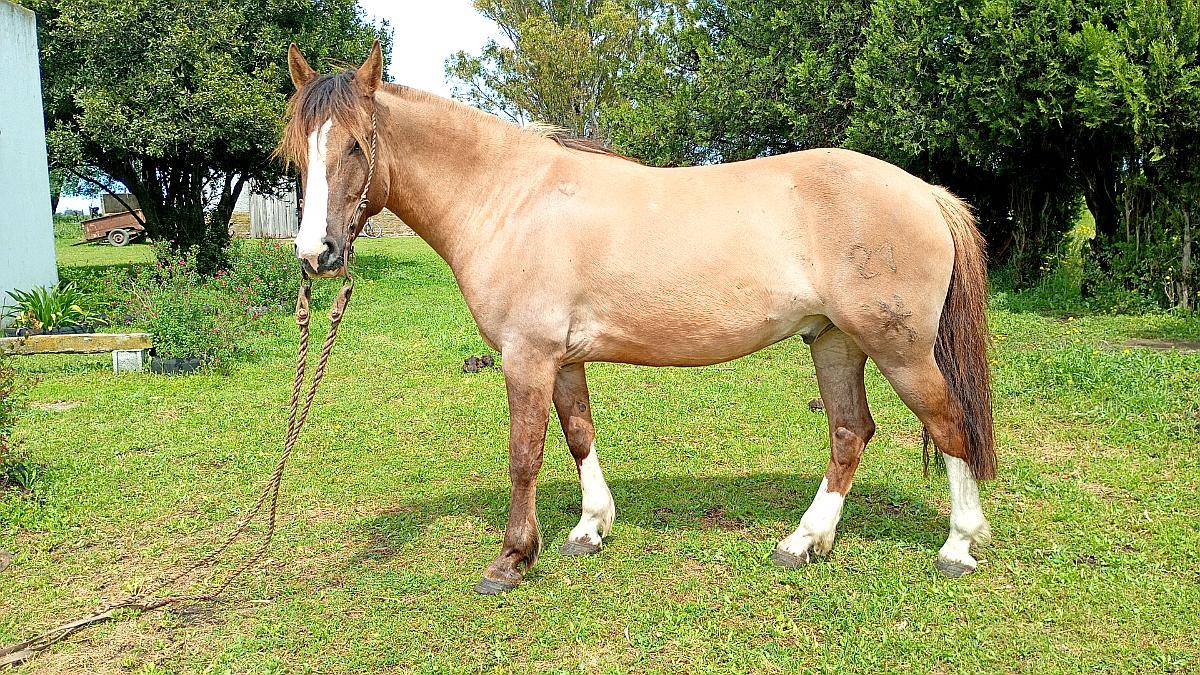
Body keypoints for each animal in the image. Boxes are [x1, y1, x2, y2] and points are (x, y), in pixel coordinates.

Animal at [279, 41, 995, 594]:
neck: (509, 197)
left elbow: (524, 455)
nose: (317, 254)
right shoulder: (562, 359)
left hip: (899, 349)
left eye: (354, 146)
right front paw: (589, 527)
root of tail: (924, 194)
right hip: (835, 341)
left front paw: (511, 559)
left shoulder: (527, 357)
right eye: (299, 152)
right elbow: (578, 436)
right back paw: (803, 541)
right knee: (850, 432)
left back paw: (958, 547)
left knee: (949, 423)